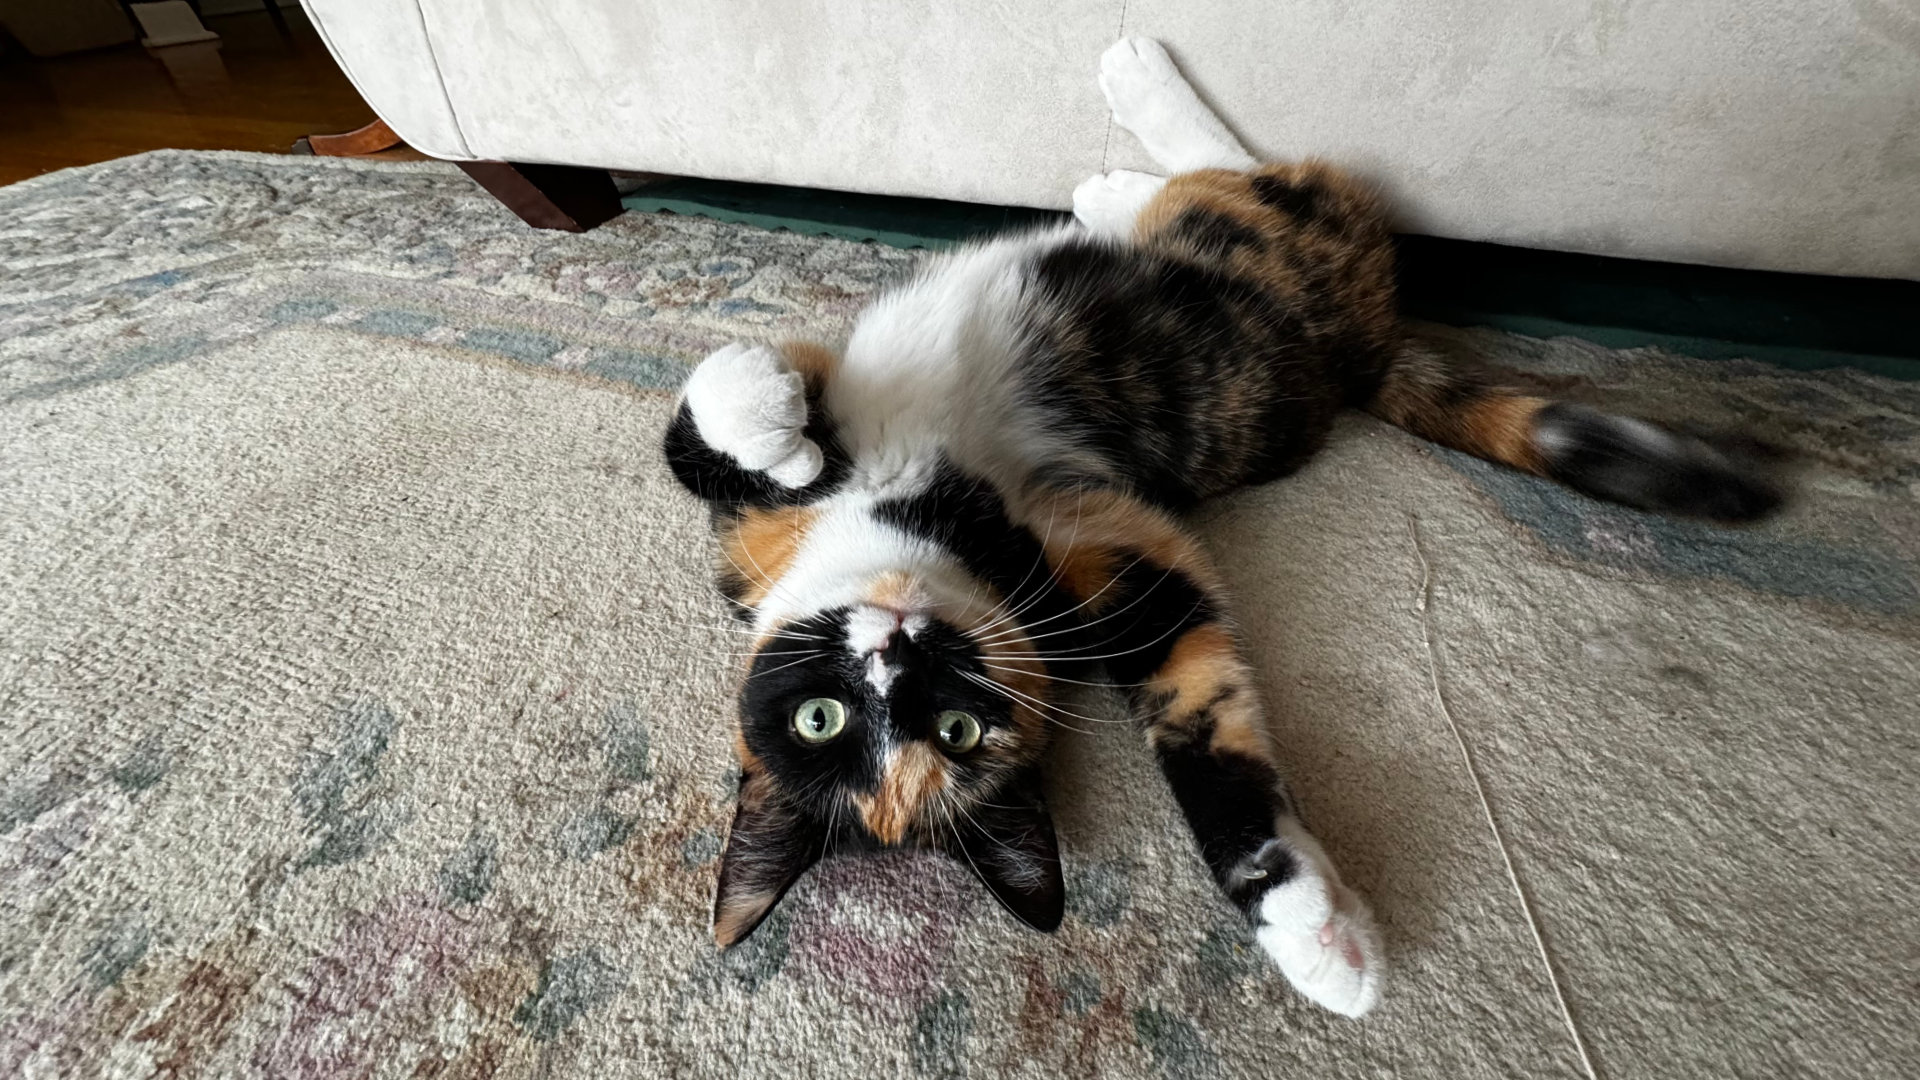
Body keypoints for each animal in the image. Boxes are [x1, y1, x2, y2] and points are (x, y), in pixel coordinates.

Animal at [660, 33, 1781, 1006]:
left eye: (823, 717)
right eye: (940, 730)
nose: (901, 655)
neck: (938, 529)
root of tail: (1368, 355)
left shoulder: (785, 526)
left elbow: (698, 435)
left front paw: (771, 424)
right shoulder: (1114, 553)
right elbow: (1201, 703)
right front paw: (1312, 930)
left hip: (1234, 241)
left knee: (1244, 170)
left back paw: (1123, 122)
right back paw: (1113, 174)